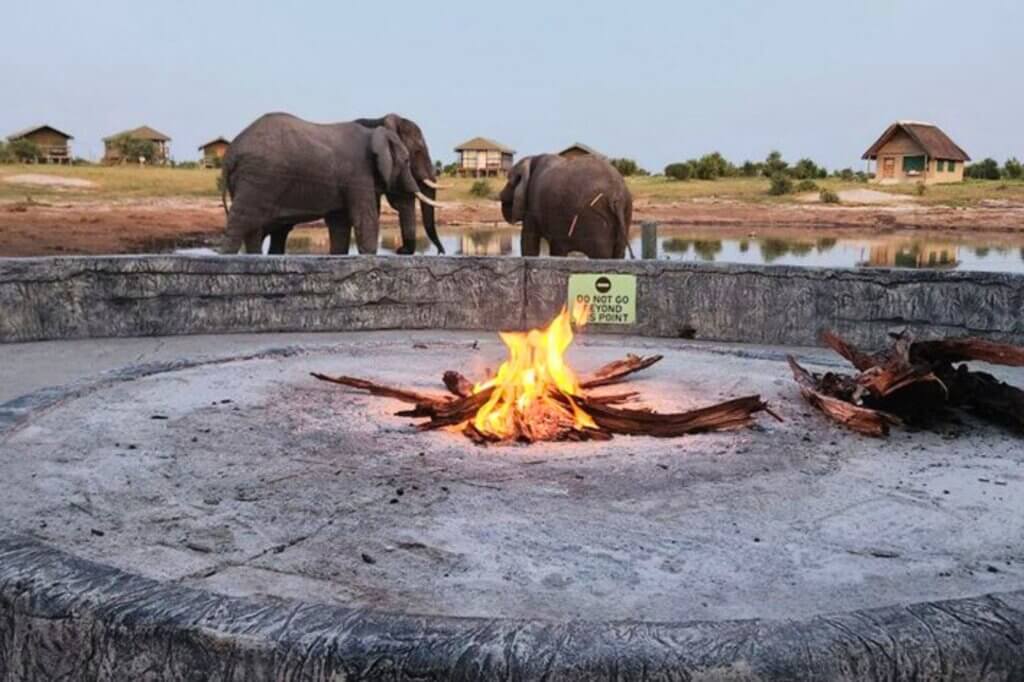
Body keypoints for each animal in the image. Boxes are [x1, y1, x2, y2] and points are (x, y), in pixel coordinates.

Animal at [220, 112, 445, 255]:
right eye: (412, 155)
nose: (400, 251)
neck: (376, 122)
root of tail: (231, 154)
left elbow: (340, 223)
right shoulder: (359, 172)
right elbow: (365, 219)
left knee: (259, 229)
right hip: (258, 176)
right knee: (243, 221)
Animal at [499, 154, 633, 259]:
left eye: (509, 181)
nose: (500, 194)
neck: (532, 159)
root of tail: (617, 196)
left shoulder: (532, 204)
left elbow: (529, 242)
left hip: (597, 218)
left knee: (601, 256)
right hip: (625, 212)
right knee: (619, 253)